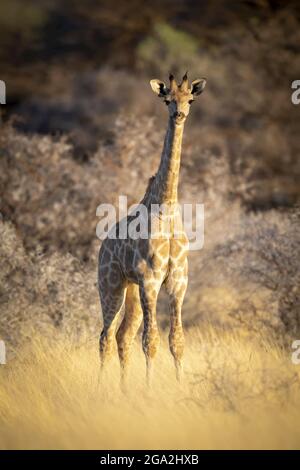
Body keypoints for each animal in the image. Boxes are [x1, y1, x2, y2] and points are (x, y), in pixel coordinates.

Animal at [98, 71, 206, 384]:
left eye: (190, 99)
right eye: (167, 100)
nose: (179, 114)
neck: (166, 207)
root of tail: (102, 247)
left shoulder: (179, 281)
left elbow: (177, 341)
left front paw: (180, 388)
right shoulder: (150, 279)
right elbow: (151, 341)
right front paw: (148, 389)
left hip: (131, 290)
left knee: (122, 336)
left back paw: (122, 389)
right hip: (110, 285)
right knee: (106, 336)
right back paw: (100, 388)